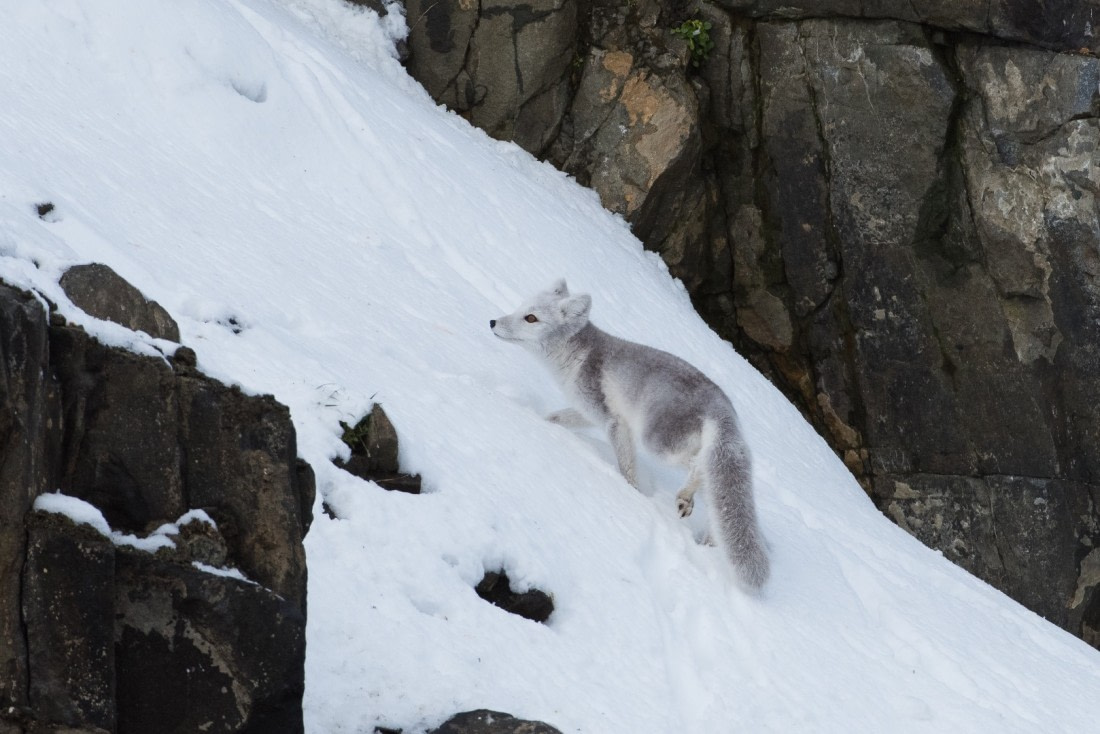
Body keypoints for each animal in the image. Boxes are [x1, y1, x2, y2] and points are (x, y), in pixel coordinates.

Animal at [490, 279, 769, 589]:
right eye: (522, 308)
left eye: (531, 318)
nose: (492, 322)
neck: (576, 357)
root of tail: (723, 408)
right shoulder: (588, 413)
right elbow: (555, 418)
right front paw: (541, 422)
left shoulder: (613, 421)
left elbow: (626, 466)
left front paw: (632, 493)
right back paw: (706, 533)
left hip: (657, 441)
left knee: (698, 466)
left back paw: (685, 499)